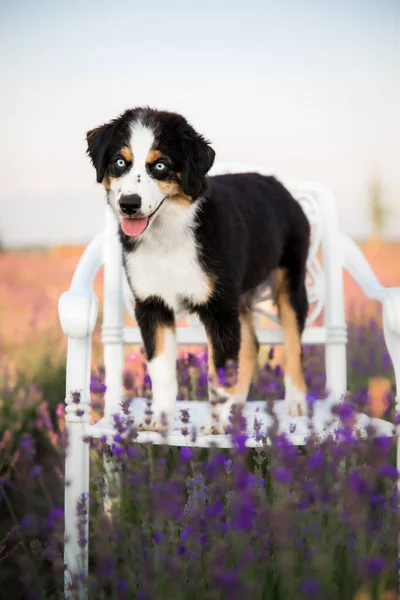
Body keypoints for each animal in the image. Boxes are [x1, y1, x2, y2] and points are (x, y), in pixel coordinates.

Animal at [85, 108, 310, 434]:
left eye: (161, 165)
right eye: (120, 162)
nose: (129, 204)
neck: (167, 239)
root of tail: (277, 184)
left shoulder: (219, 308)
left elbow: (220, 372)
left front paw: (216, 427)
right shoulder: (152, 305)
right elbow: (162, 370)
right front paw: (159, 421)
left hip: (288, 280)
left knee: (292, 342)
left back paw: (295, 402)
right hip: (238, 292)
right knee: (250, 345)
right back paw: (238, 407)